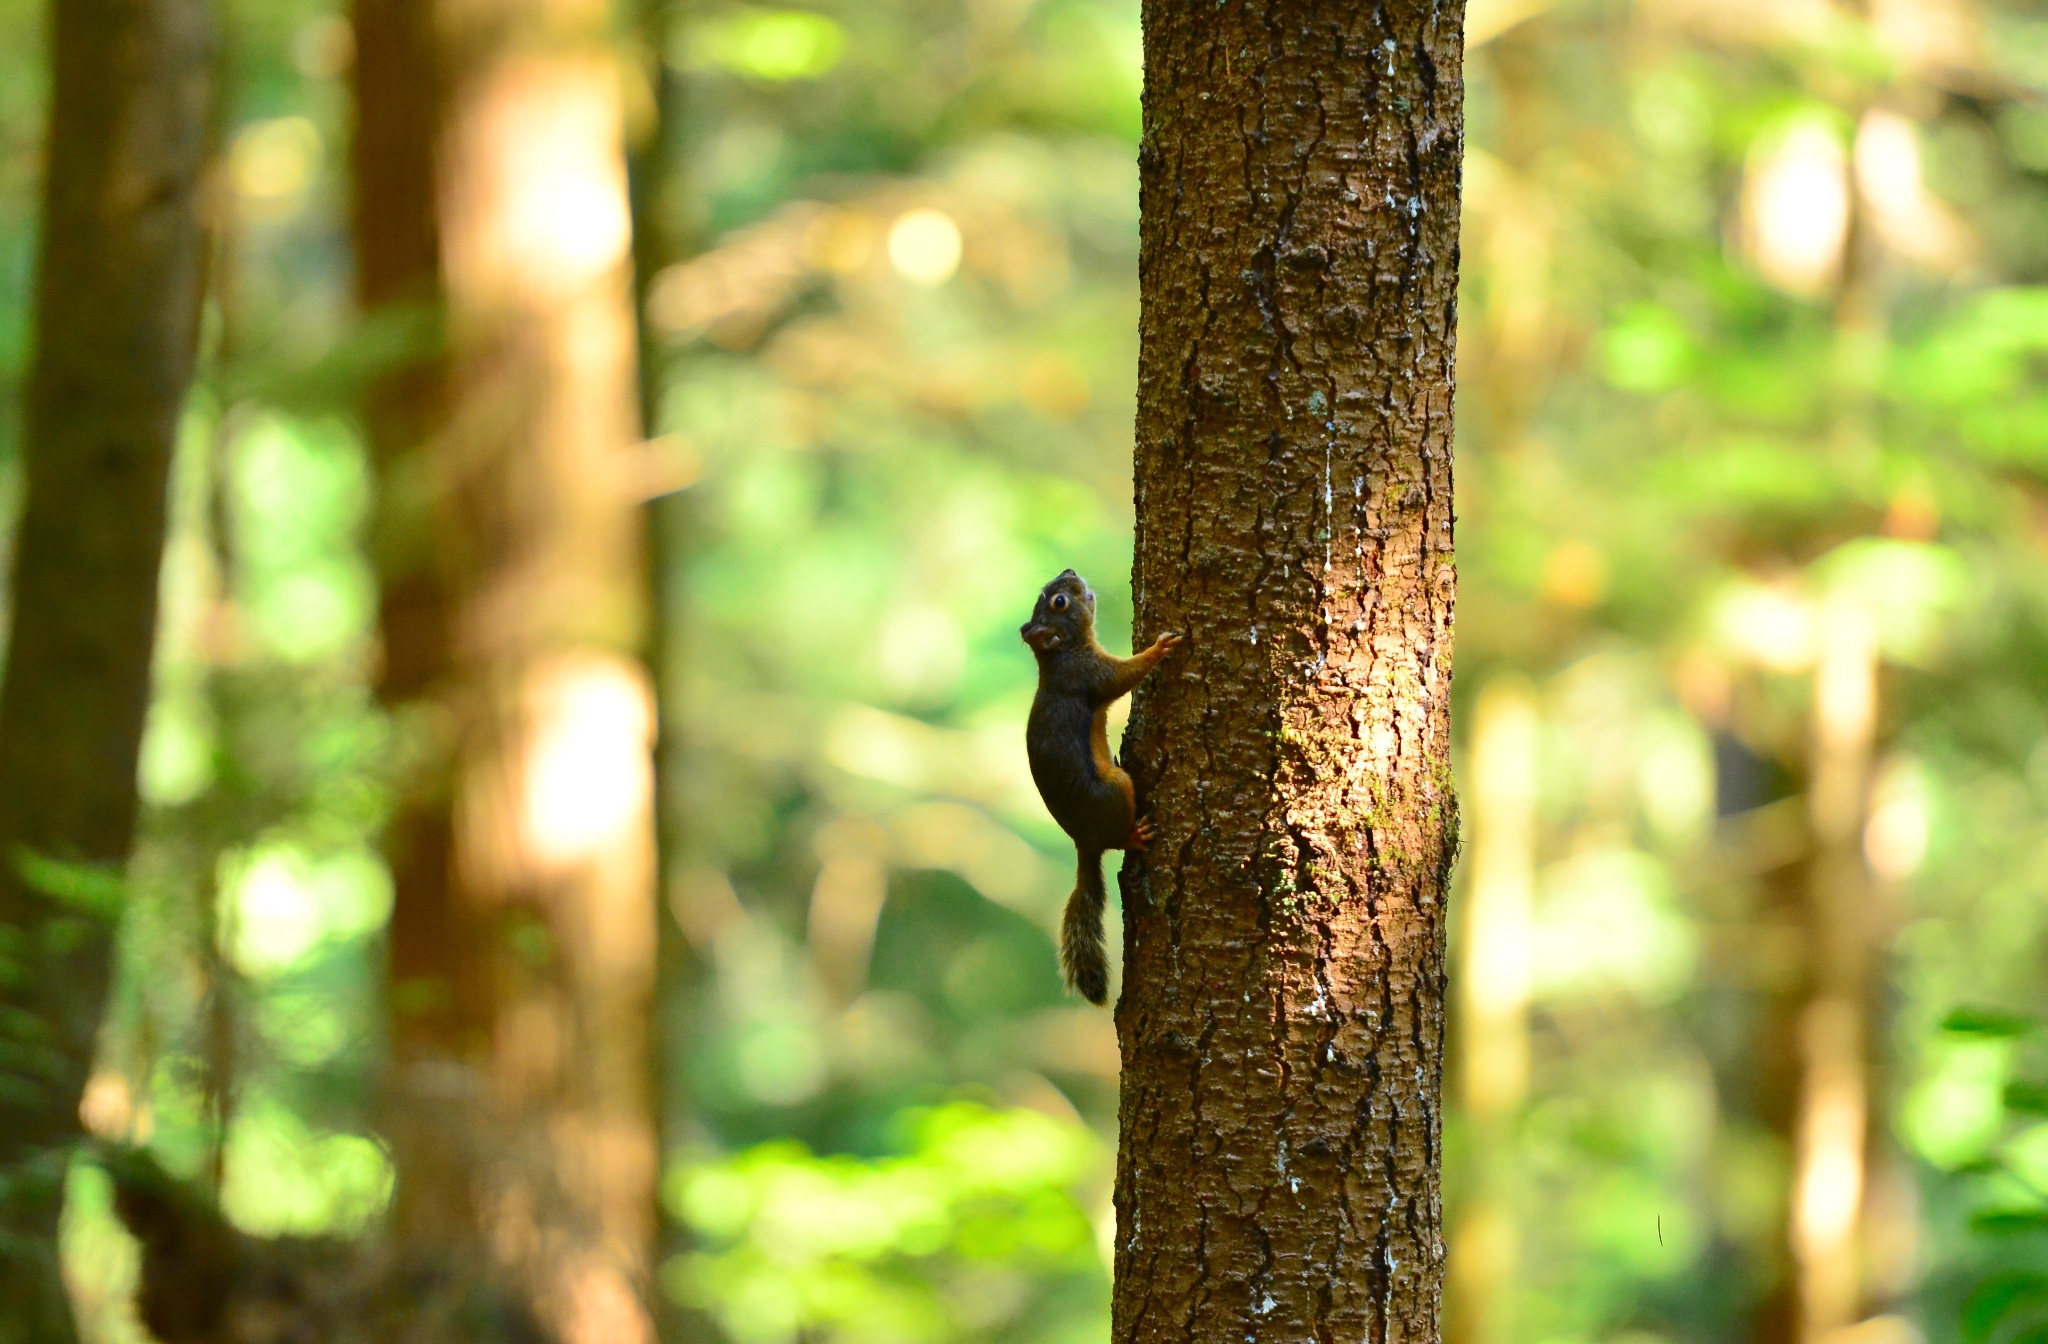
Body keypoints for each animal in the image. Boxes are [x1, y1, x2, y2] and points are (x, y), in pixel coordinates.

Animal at [1019, 569, 1187, 1008]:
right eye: (1060, 602)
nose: (1070, 572)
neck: (1059, 656)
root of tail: (1085, 842)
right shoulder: (1090, 675)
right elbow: (1124, 676)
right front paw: (1159, 649)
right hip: (1116, 790)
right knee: (1120, 837)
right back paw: (1135, 835)